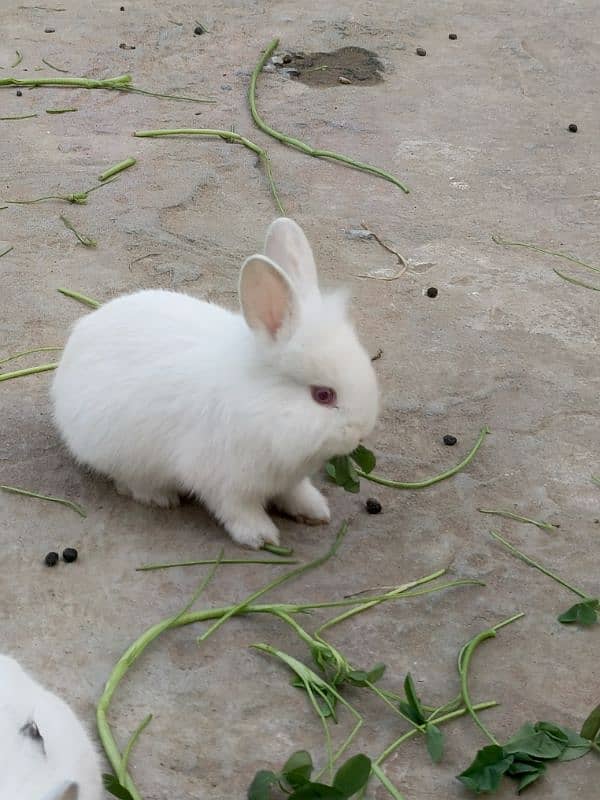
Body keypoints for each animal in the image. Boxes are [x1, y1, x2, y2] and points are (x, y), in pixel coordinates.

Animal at [52, 217, 380, 552]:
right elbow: (237, 509)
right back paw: (159, 497)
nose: (361, 432)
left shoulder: (287, 478)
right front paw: (260, 536)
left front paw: (315, 511)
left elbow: (295, 492)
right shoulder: (223, 479)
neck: (263, 405)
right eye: (323, 395)